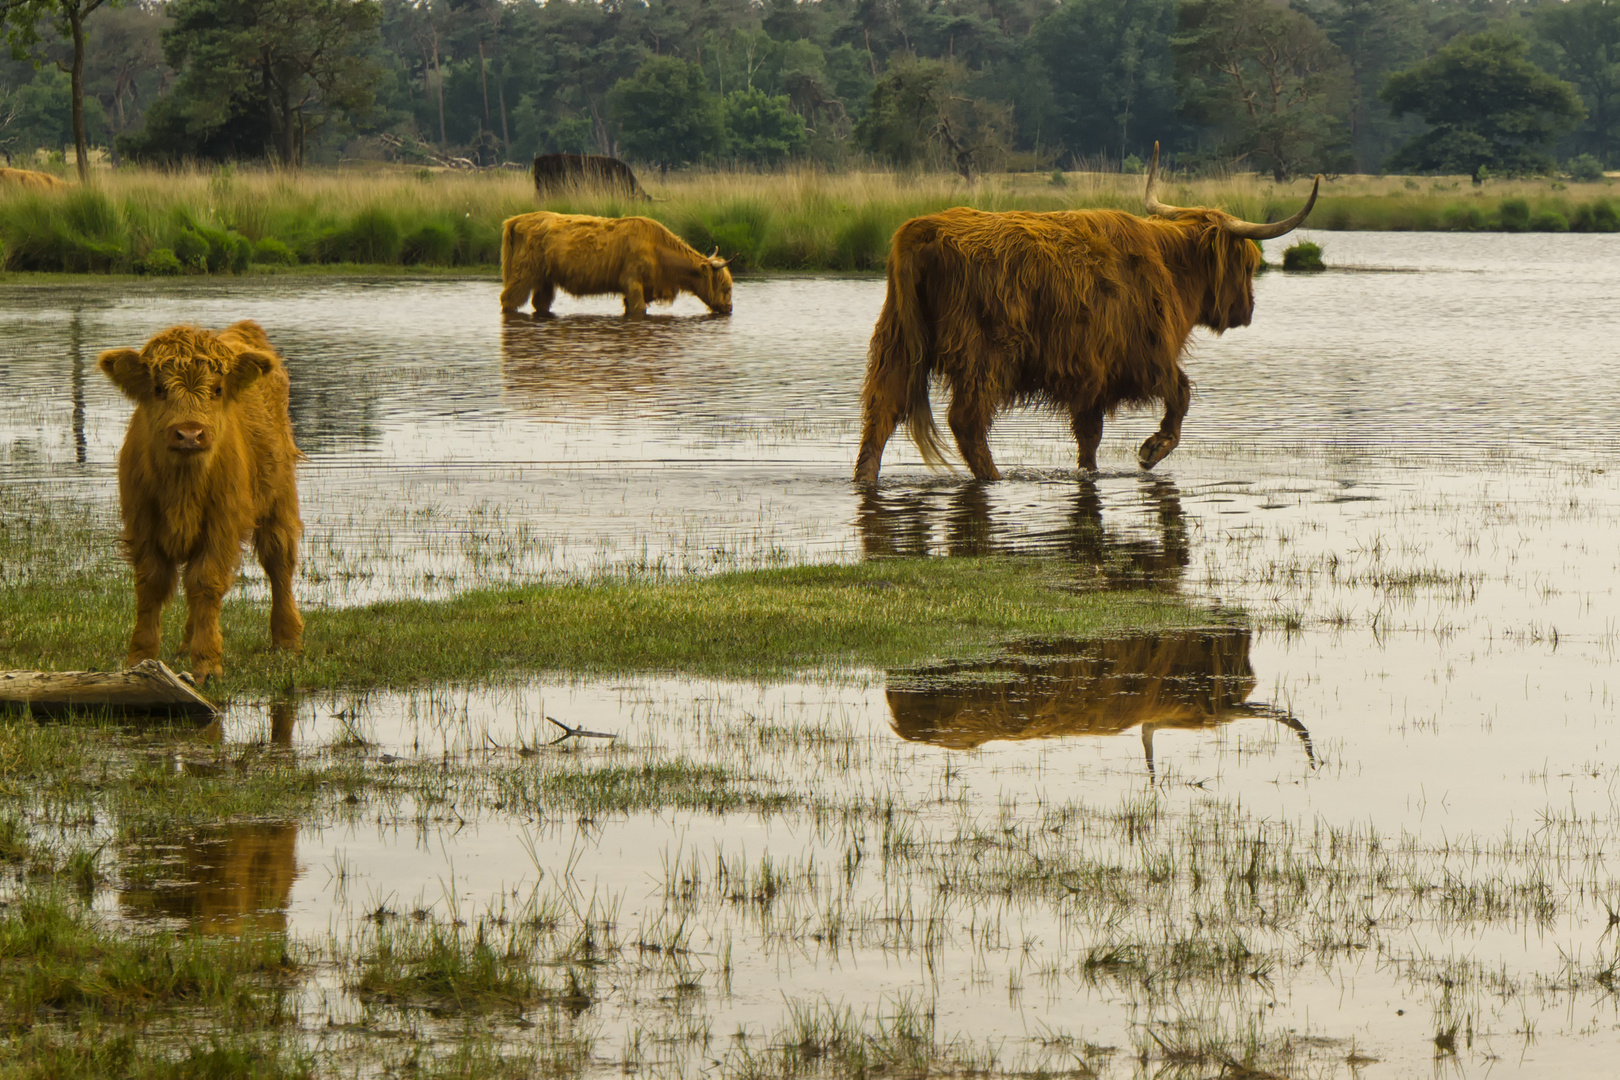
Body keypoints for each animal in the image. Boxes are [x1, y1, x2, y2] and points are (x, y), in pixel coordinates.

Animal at [99, 317, 304, 680]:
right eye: (159, 389)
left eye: (217, 390)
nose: (189, 434)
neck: (183, 486)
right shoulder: (142, 523)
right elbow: (151, 584)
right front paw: (139, 659)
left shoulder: (222, 523)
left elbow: (206, 582)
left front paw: (208, 663)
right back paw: (184, 646)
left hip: (279, 497)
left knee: (278, 559)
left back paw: (287, 640)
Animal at [498, 208, 735, 317]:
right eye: (725, 286)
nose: (730, 308)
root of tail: (519, 219)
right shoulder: (633, 283)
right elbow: (639, 309)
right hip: (523, 275)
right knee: (508, 300)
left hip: (544, 280)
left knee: (541, 303)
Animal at [855, 143, 1321, 482]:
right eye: (1249, 263)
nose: (1248, 309)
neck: (1170, 268)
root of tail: (925, 230)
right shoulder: (1146, 354)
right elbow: (1182, 393)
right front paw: (1151, 451)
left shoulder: (1092, 373)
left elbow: (1089, 436)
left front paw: (1091, 471)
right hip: (985, 353)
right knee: (966, 421)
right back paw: (993, 477)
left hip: (898, 340)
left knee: (882, 408)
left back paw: (865, 477)